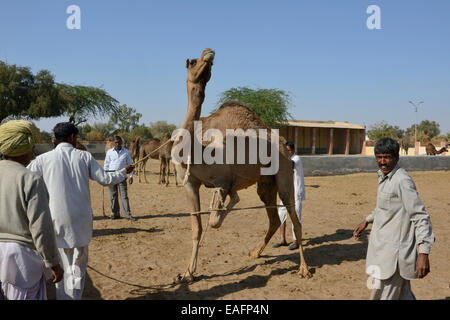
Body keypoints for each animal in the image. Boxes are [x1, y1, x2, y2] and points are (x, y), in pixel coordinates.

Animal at [172, 48, 310, 282]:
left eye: (209, 64)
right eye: (192, 62)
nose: (208, 53)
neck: (198, 149)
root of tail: (284, 144)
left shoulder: (223, 179)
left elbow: (215, 220)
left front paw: (223, 204)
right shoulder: (189, 182)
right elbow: (196, 228)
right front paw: (188, 273)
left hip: (283, 174)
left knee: (294, 216)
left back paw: (304, 269)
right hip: (266, 184)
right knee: (274, 219)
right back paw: (255, 252)